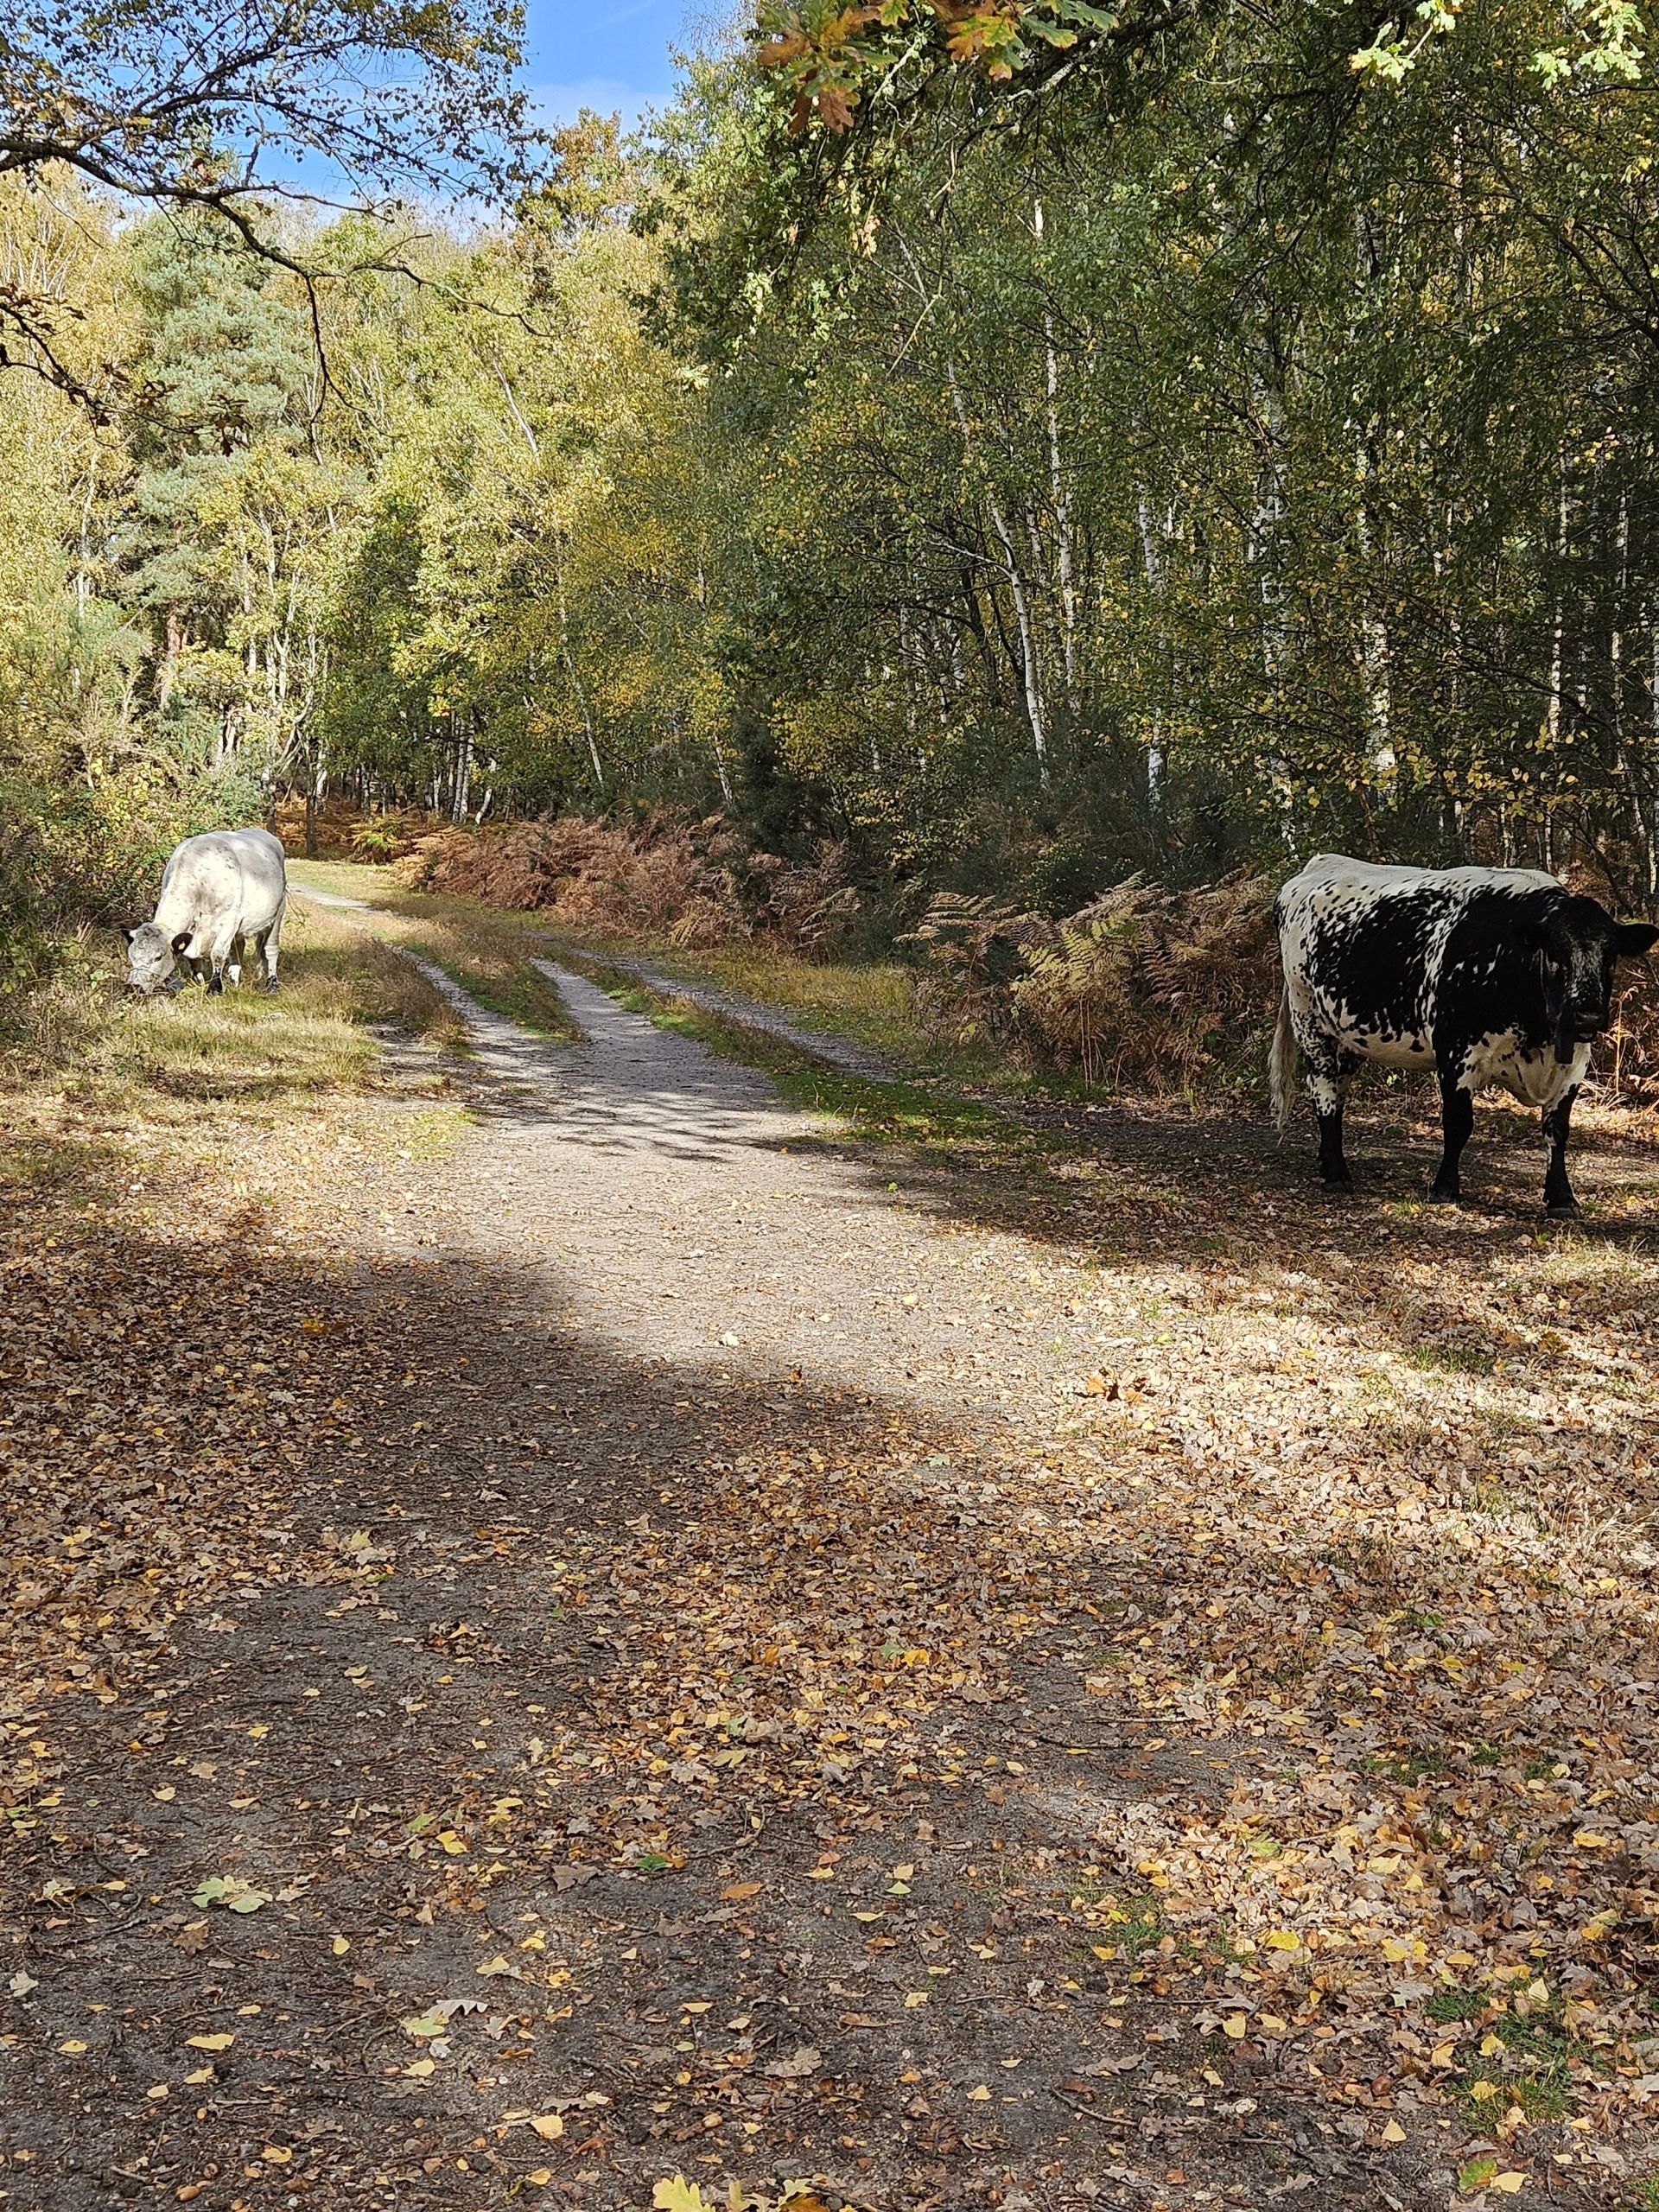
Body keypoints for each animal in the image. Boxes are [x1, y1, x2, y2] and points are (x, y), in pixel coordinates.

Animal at [123, 827, 288, 998]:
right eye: (131, 956)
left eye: (158, 957)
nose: (134, 986)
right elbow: (191, 956)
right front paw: (201, 981)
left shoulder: (229, 921)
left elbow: (218, 954)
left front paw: (215, 988)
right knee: (238, 948)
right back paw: (233, 982)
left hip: (278, 911)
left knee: (270, 950)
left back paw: (272, 986)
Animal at [1270, 854, 1656, 1216]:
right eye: (1556, 955)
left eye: (1611, 957)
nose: (1588, 1014)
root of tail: (1319, 864)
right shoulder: (1456, 1051)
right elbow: (1458, 1123)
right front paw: (1445, 1187)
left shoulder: (1574, 1063)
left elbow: (1557, 1129)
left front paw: (1562, 1198)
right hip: (1308, 1016)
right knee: (1324, 1090)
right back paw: (1336, 1172)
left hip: (1346, 1031)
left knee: (1339, 1090)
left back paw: (1326, 1158)